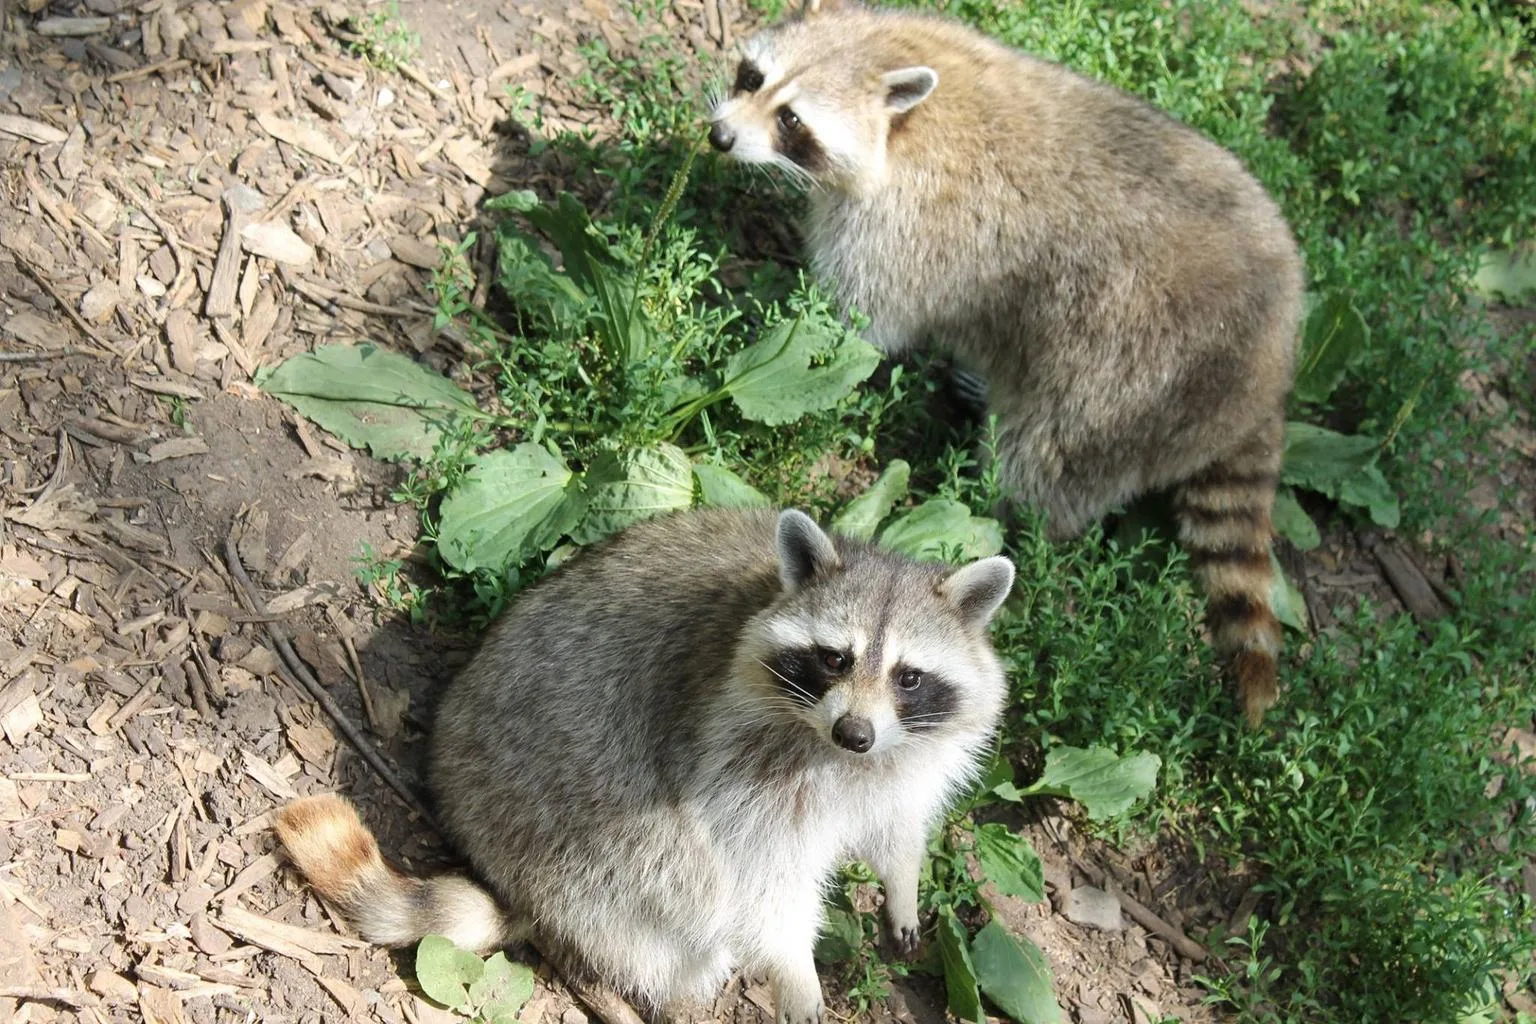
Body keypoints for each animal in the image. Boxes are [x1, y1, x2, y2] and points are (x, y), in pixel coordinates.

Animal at [274, 507, 1014, 1023]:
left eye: (908, 676)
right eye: (835, 658)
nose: (854, 731)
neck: (839, 750)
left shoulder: (913, 753)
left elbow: (900, 818)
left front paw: (903, 880)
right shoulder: (733, 759)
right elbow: (758, 877)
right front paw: (794, 965)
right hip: (567, 819)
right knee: (676, 876)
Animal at [706, 0, 1305, 726]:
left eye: (793, 120)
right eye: (752, 77)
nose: (718, 137)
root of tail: (1266, 379)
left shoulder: (906, 228)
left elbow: (858, 324)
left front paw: (770, 322)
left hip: (1132, 378)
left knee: (1043, 458)